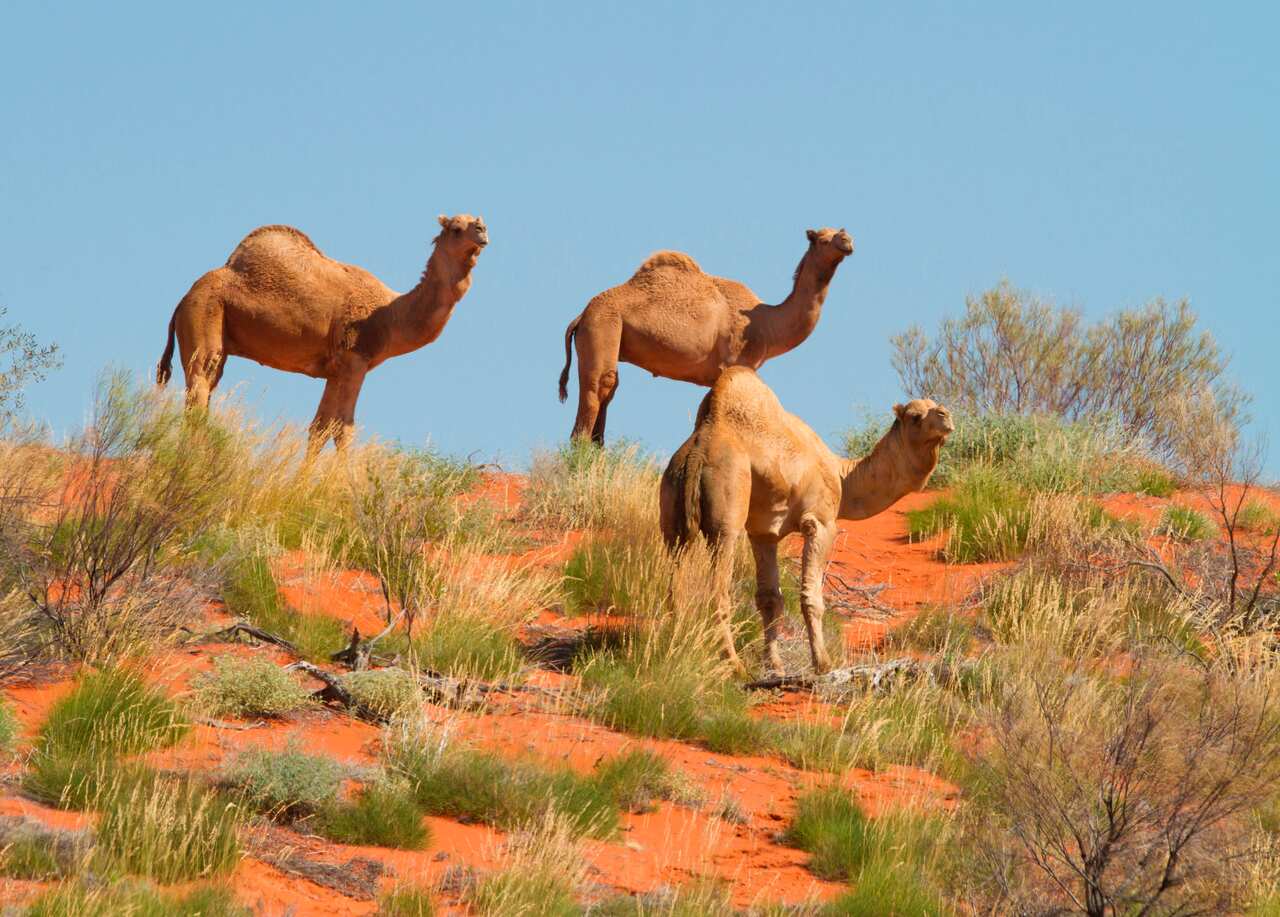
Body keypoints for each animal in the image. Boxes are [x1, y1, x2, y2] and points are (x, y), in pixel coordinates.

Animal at [156, 215, 488, 450]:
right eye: (456, 228)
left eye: (477, 219)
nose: (482, 230)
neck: (389, 313)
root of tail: (182, 300)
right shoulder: (355, 360)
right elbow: (344, 429)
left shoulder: (335, 369)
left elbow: (319, 428)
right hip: (204, 317)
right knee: (199, 388)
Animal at [557, 227, 854, 444]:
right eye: (822, 239)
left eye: (840, 232)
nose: (847, 240)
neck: (766, 322)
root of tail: (580, 316)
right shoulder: (735, 362)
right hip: (602, 327)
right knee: (597, 390)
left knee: (608, 392)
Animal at [659, 367, 953, 676]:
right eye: (915, 416)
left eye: (935, 406)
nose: (945, 415)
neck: (842, 475)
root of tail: (697, 451)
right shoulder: (820, 522)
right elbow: (811, 597)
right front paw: (822, 663)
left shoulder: (764, 532)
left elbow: (770, 598)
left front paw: (775, 665)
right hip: (727, 502)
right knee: (719, 587)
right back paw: (734, 664)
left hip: (672, 502)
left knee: (674, 582)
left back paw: (676, 649)